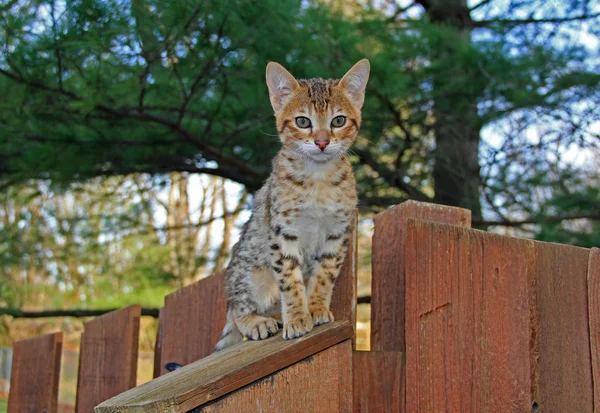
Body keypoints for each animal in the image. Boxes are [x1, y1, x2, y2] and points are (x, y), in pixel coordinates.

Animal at [213, 58, 368, 350]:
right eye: (303, 121)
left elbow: (324, 275)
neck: (318, 177)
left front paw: (316, 308)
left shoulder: (337, 232)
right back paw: (257, 322)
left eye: (338, 120)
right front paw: (297, 318)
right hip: (250, 274)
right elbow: (289, 279)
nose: (321, 142)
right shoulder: (283, 231)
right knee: (237, 310)